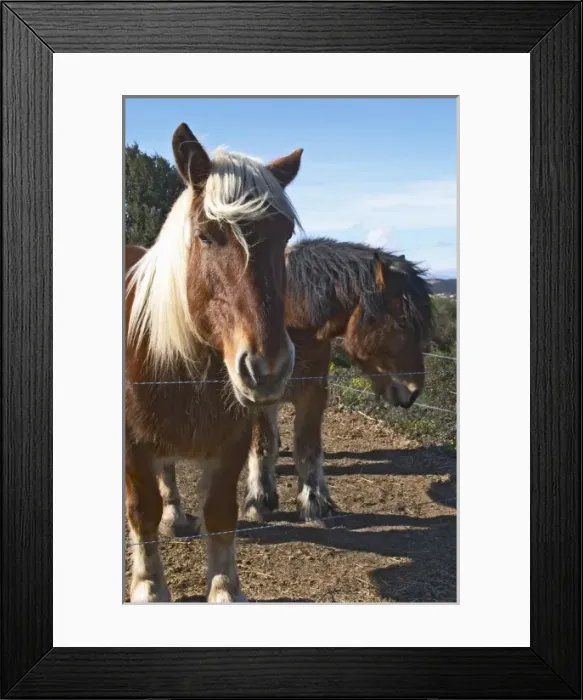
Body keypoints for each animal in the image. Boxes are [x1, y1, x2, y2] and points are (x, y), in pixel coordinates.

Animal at [125, 122, 303, 602]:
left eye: (284, 237)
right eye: (206, 235)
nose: (267, 367)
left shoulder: (233, 440)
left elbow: (221, 514)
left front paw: (225, 589)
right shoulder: (131, 444)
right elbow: (141, 510)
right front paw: (149, 586)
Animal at [156, 238, 433, 532]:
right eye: (402, 322)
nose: (412, 392)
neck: (293, 320)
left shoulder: (313, 393)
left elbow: (307, 448)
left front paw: (314, 502)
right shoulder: (259, 396)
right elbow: (263, 445)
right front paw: (259, 500)